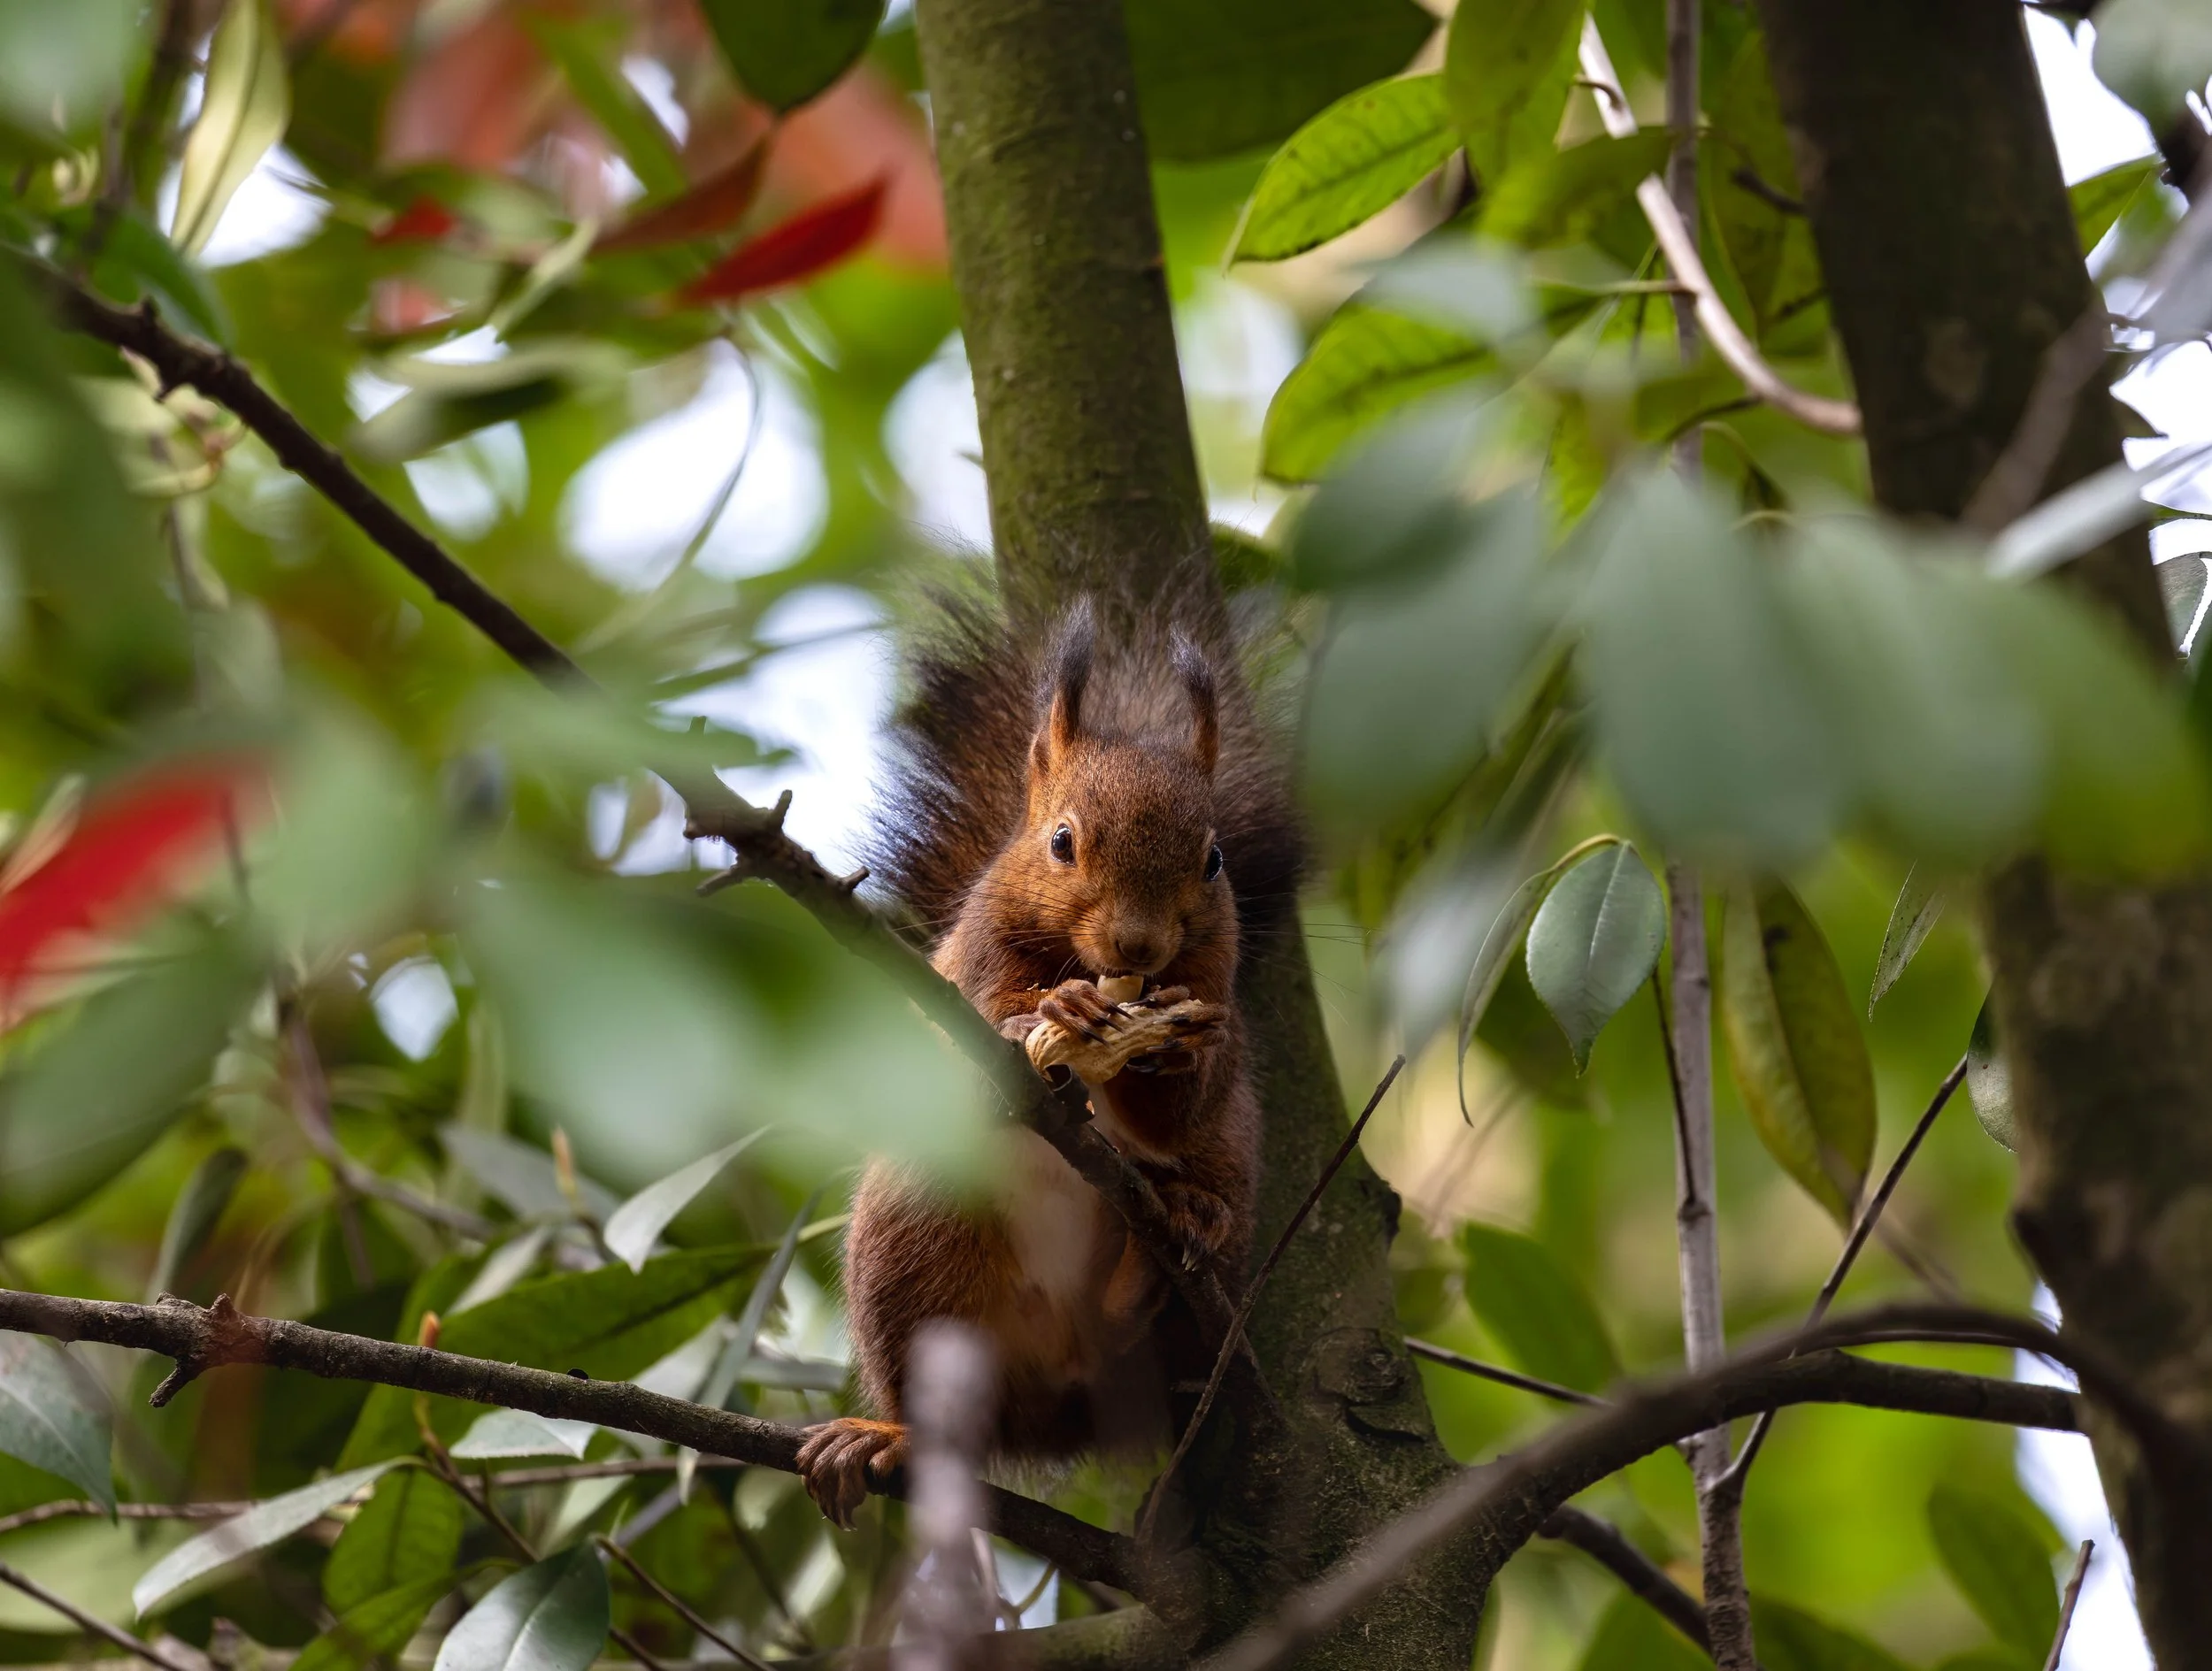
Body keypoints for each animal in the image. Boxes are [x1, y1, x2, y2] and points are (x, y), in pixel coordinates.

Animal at [794, 586, 1301, 1527]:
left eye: (1213, 859)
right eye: (1061, 842)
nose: (1138, 943)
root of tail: (1067, 1395)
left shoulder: (1215, 974)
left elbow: (1180, 1109)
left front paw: (1180, 1051)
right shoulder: (968, 966)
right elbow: (983, 1035)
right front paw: (1051, 1014)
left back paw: (1173, 1239)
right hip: (913, 1244)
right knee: (937, 1404)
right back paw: (885, 1437)